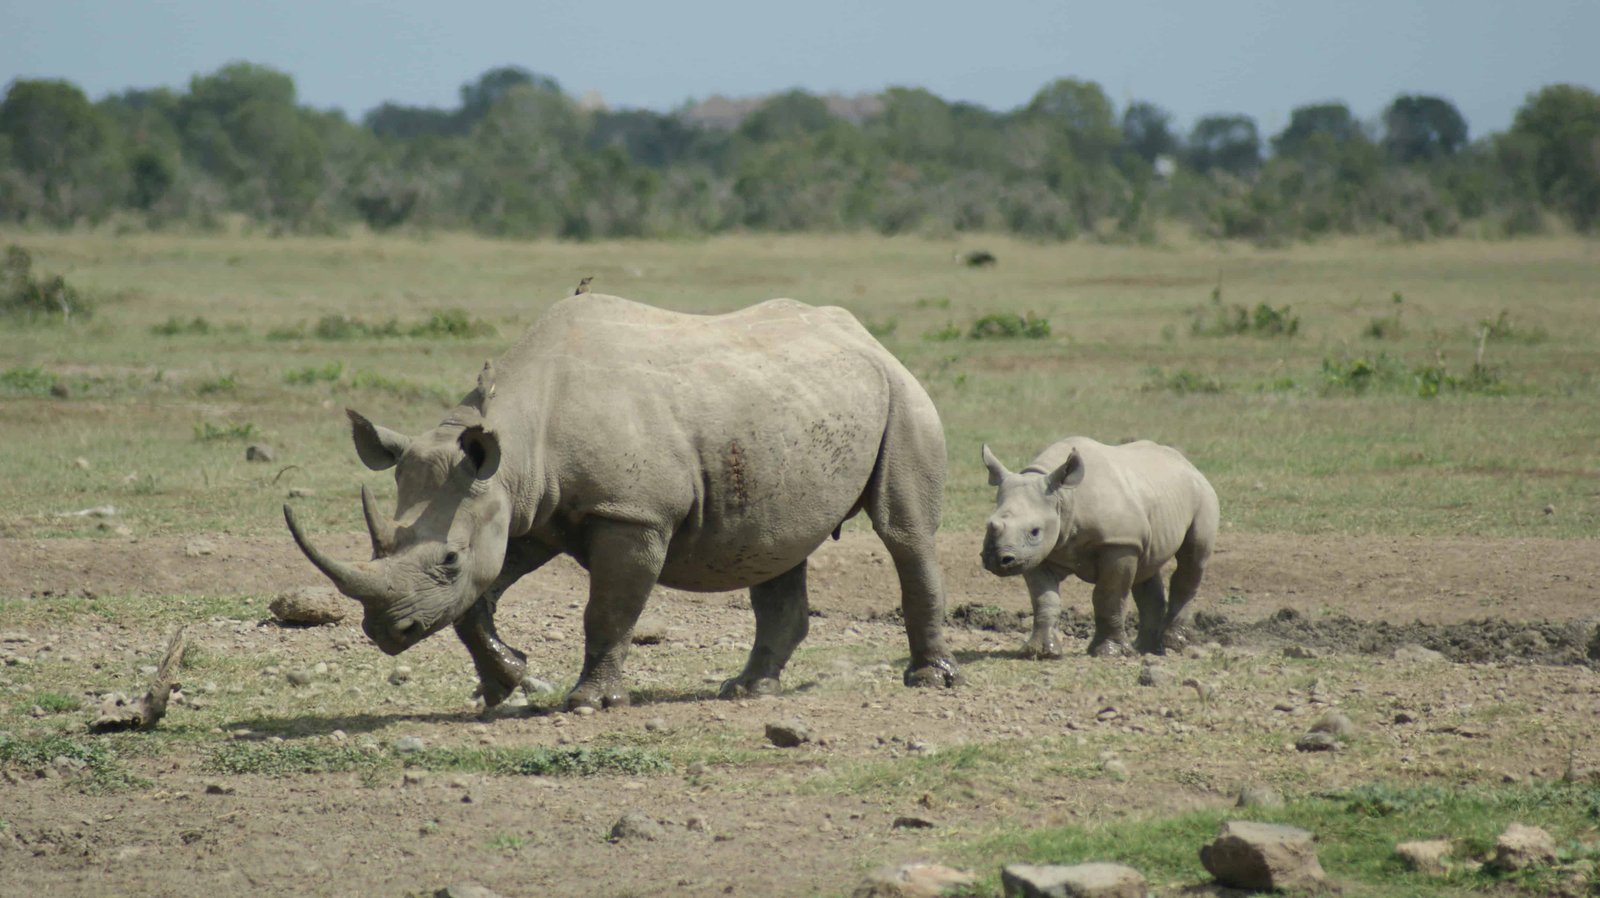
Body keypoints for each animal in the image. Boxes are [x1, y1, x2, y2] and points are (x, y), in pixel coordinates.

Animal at [284, 294, 959, 710]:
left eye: (447, 559)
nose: (385, 632)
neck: (517, 439)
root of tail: (865, 334)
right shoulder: (523, 510)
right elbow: (475, 606)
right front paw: (508, 685)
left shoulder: (632, 514)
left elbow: (606, 612)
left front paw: (589, 703)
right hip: (789, 409)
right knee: (774, 544)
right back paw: (746, 691)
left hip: (902, 392)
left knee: (904, 533)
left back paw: (928, 680)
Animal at [980, 437, 1218, 658]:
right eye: (989, 524)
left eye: (1035, 531)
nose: (998, 559)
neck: (1064, 497)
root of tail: (1188, 464)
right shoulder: (1037, 554)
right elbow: (1044, 599)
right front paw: (1040, 652)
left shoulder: (1119, 543)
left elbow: (1108, 596)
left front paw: (1108, 652)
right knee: (1147, 567)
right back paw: (1145, 649)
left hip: (1202, 494)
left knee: (1193, 557)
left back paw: (1173, 643)